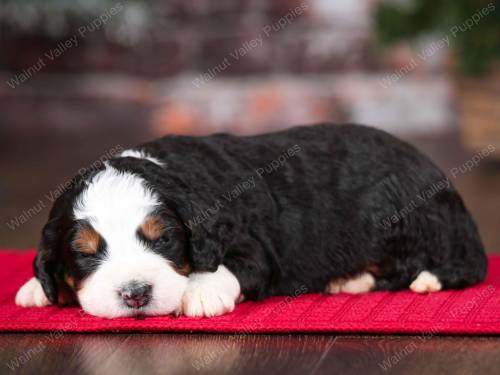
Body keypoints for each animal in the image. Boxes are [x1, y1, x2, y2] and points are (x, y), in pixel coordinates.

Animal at [15, 125, 488, 318]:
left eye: (163, 240)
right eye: (83, 254)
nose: (135, 294)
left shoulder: (253, 241)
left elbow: (232, 264)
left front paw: (200, 292)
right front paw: (36, 288)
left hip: (392, 212)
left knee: (428, 265)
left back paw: (377, 280)